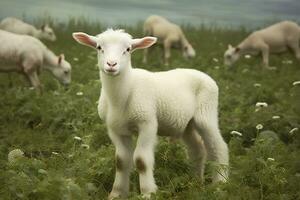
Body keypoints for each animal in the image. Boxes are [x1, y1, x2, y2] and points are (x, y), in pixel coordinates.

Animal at [73, 28, 230, 199]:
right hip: (187, 124)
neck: (123, 94)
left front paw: (148, 193)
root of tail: (203, 74)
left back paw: (220, 184)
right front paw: (116, 194)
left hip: (206, 112)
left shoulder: (147, 123)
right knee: (197, 149)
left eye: (128, 49)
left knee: (219, 147)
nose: (111, 64)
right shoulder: (115, 129)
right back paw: (195, 183)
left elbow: (141, 161)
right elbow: (120, 161)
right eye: (99, 47)